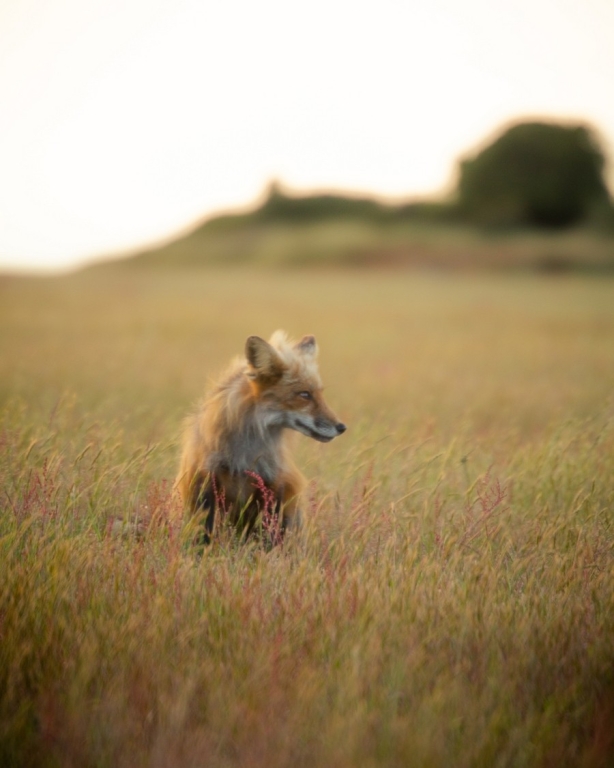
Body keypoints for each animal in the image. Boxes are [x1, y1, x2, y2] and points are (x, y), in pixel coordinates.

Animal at [177, 332, 346, 544]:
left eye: (320, 393)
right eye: (305, 394)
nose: (342, 427)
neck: (244, 454)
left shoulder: (274, 485)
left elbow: (270, 536)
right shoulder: (205, 482)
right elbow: (204, 531)